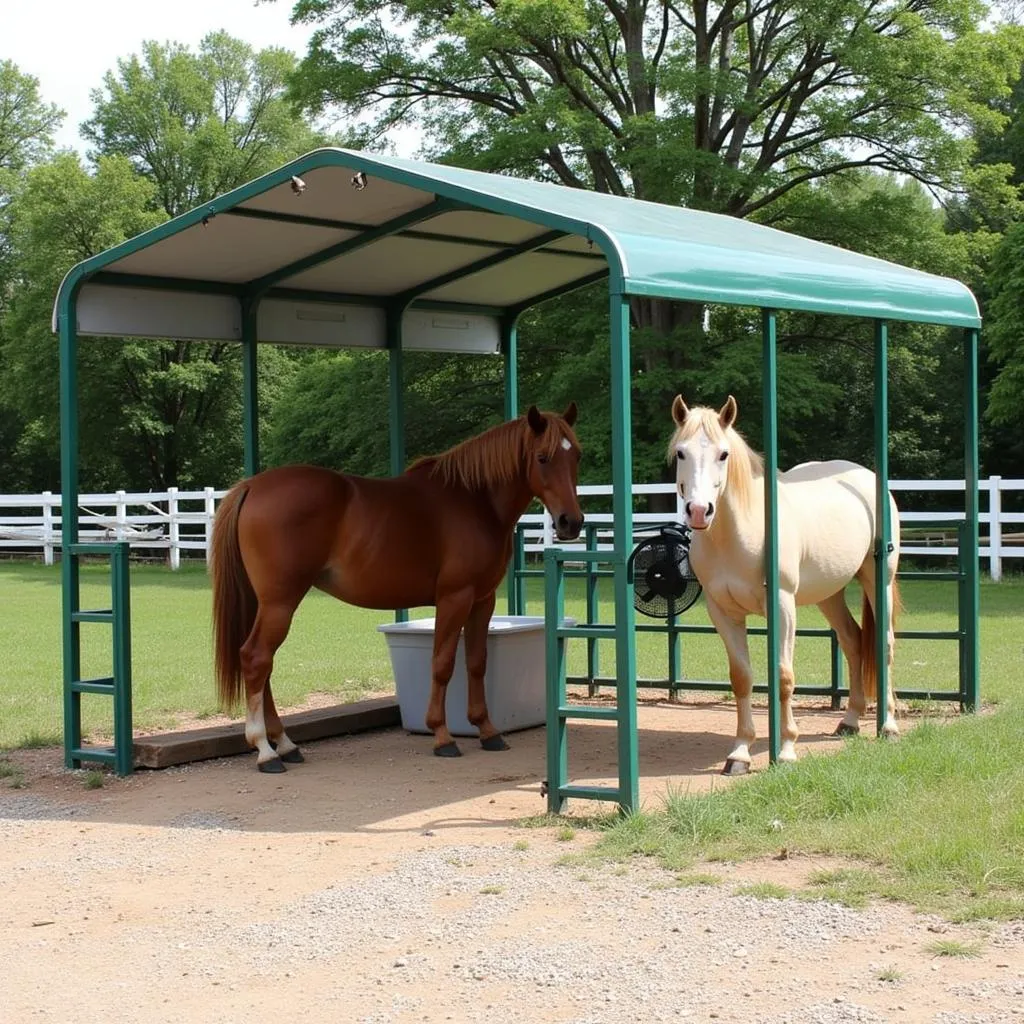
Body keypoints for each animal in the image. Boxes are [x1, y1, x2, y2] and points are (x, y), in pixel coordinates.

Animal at [210, 403, 581, 770]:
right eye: (542, 457)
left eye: (575, 455)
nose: (571, 522)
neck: (476, 500)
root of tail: (252, 486)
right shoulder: (455, 597)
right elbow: (443, 664)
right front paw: (442, 736)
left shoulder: (483, 600)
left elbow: (477, 662)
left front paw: (488, 731)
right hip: (280, 601)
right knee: (256, 658)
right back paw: (266, 750)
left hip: (267, 603)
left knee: (264, 665)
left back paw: (285, 744)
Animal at [667, 395, 901, 770]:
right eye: (681, 453)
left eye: (723, 454)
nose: (700, 511)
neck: (742, 531)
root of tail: (865, 477)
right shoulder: (723, 612)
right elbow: (742, 678)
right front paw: (740, 753)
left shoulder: (782, 604)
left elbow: (783, 676)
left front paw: (788, 749)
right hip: (829, 594)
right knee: (852, 640)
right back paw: (850, 720)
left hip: (878, 579)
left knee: (886, 644)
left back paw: (889, 725)